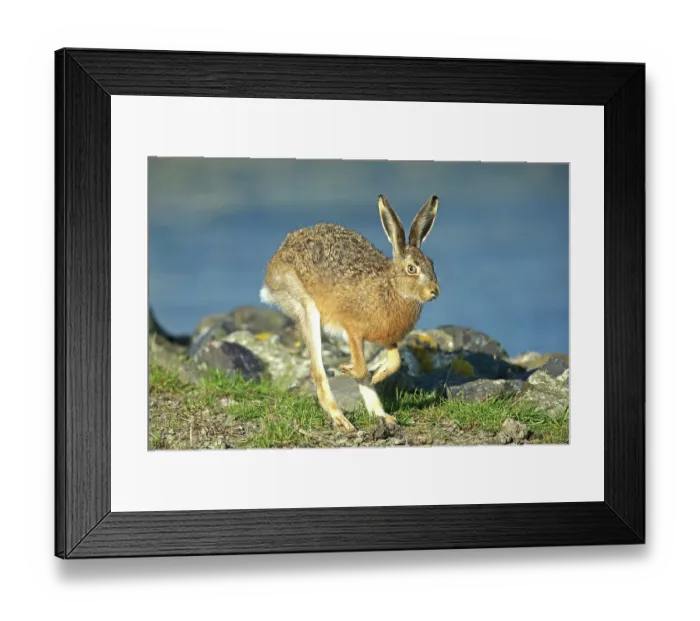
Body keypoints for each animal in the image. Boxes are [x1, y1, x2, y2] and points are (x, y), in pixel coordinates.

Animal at [260, 195, 440, 433]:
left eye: (432, 264)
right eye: (412, 269)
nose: (435, 291)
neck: (390, 288)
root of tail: (276, 260)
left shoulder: (388, 338)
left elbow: (395, 362)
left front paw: (378, 375)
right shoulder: (353, 330)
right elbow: (362, 369)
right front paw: (347, 368)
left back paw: (384, 416)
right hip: (306, 306)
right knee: (317, 371)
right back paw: (341, 420)